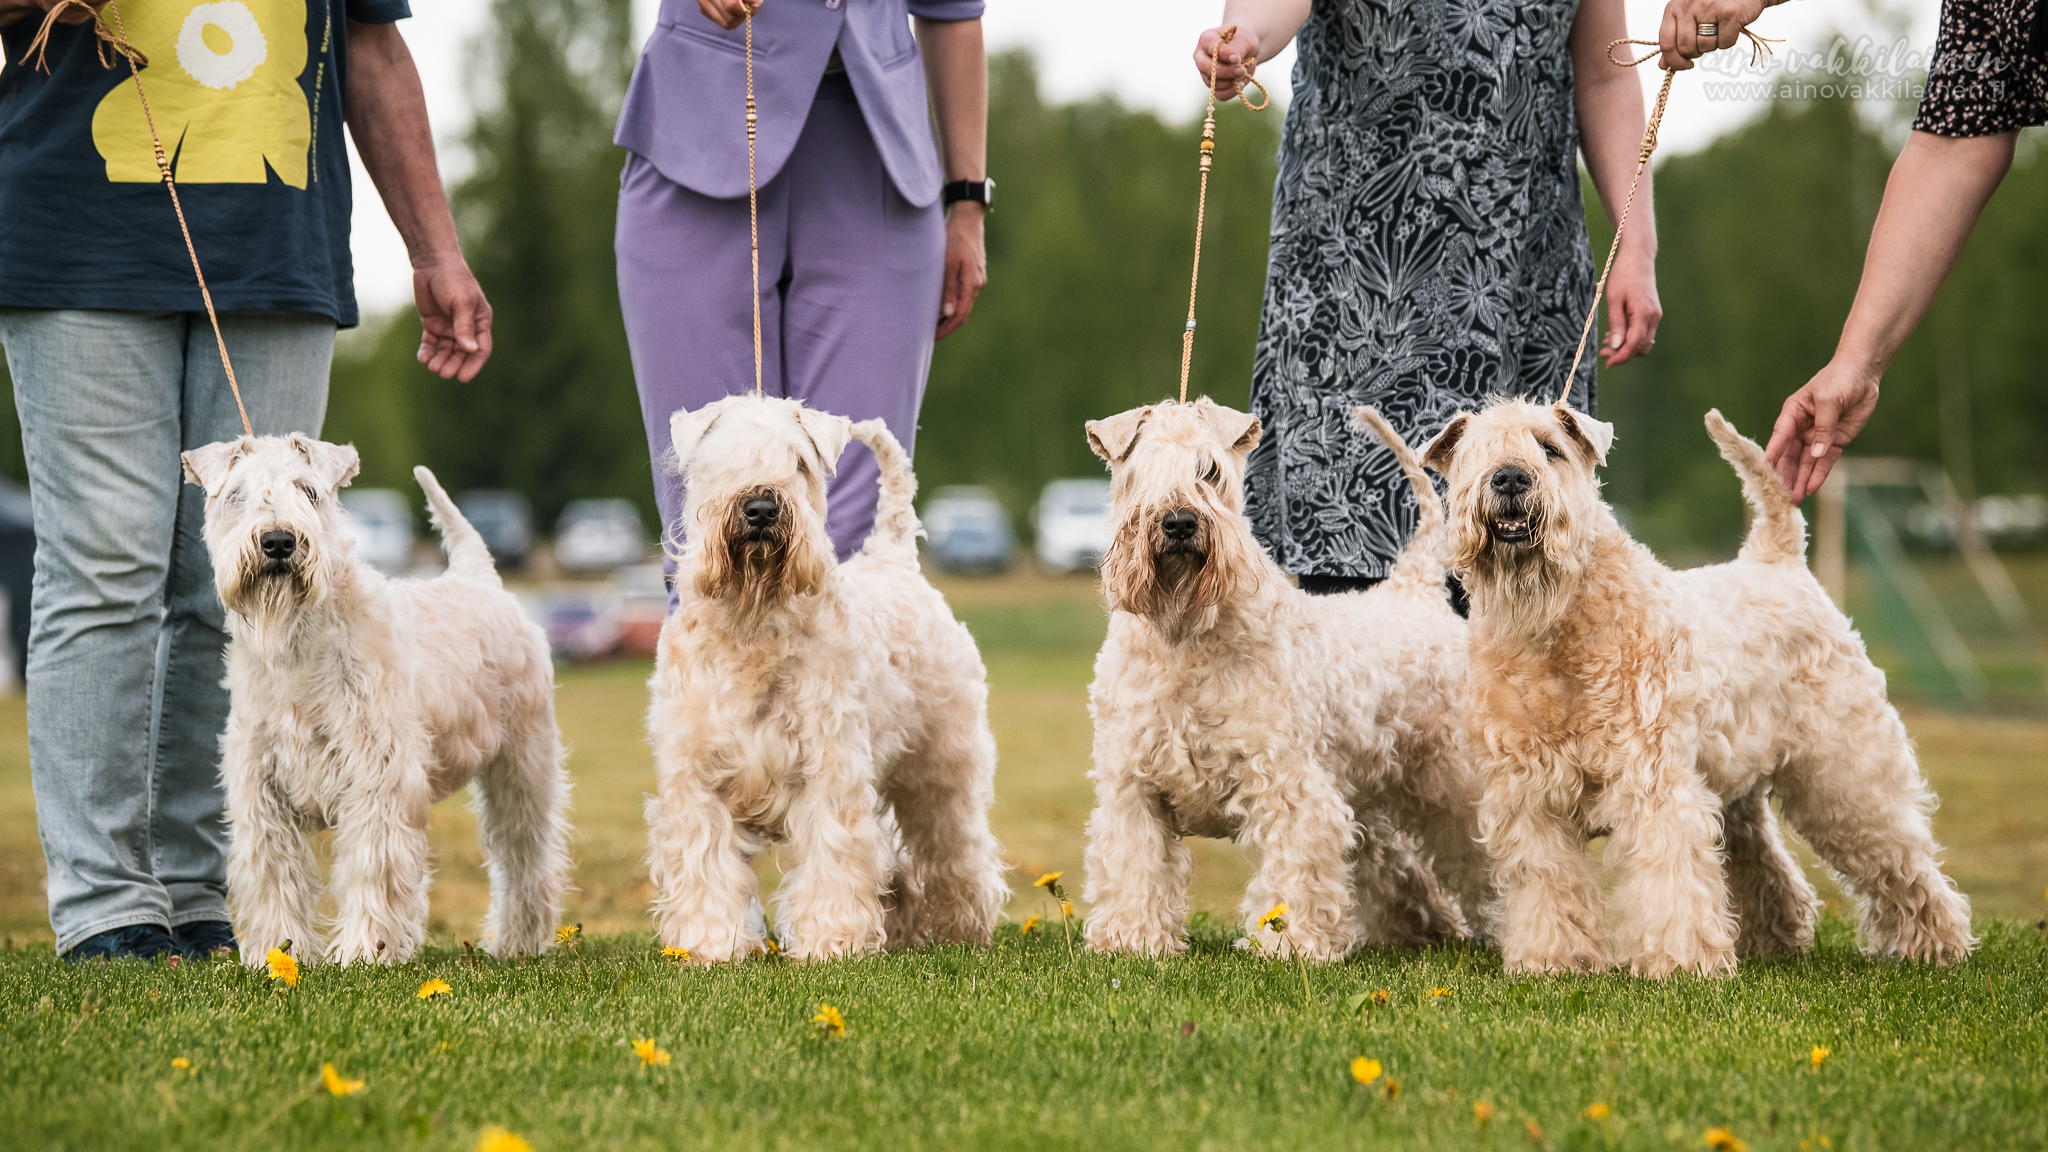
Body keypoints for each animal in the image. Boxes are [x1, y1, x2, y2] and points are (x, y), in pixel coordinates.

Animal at [184, 434, 573, 963]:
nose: (279, 541)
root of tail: (482, 580)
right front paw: (279, 956)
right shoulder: (261, 793)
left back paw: (518, 943)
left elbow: (374, 869)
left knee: (526, 858)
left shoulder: (377, 779)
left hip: (521, 768)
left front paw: (365, 953)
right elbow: (274, 878)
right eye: (237, 494)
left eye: (309, 491)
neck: (298, 646)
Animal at [647, 393, 1007, 959]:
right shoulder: (696, 777)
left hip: (941, 769)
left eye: (799, 462)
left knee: (957, 851)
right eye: (719, 459)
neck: (754, 625)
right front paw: (714, 946)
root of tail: (895, 560)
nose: (761, 508)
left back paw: (963, 929)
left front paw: (828, 943)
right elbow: (705, 865)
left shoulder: (828, 769)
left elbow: (831, 856)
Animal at [1073, 399, 1490, 955]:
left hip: (1450, 783)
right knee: (1393, 862)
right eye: (1138, 471)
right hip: (1366, 792)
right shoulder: (1133, 786)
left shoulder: (1289, 784)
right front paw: (1131, 941)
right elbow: (1135, 868)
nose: (1179, 522)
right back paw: (1425, 929)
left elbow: (1295, 873)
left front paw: (1292, 947)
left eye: (1210, 470)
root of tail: (1417, 590)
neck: (1187, 639)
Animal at [1417, 399, 1974, 971]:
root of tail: (1781, 562)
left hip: (1845, 777)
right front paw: (1552, 960)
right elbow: (1549, 884)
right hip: (1737, 790)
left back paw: (1934, 946)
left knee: (1899, 859)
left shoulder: (1652, 778)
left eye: (1550, 447)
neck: (1557, 628)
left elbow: (1669, 874)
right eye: (1476, 452)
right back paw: (1775, 940)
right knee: (1765, 866)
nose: (1510, 477)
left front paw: (1679, 963)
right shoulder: (1529, 795)